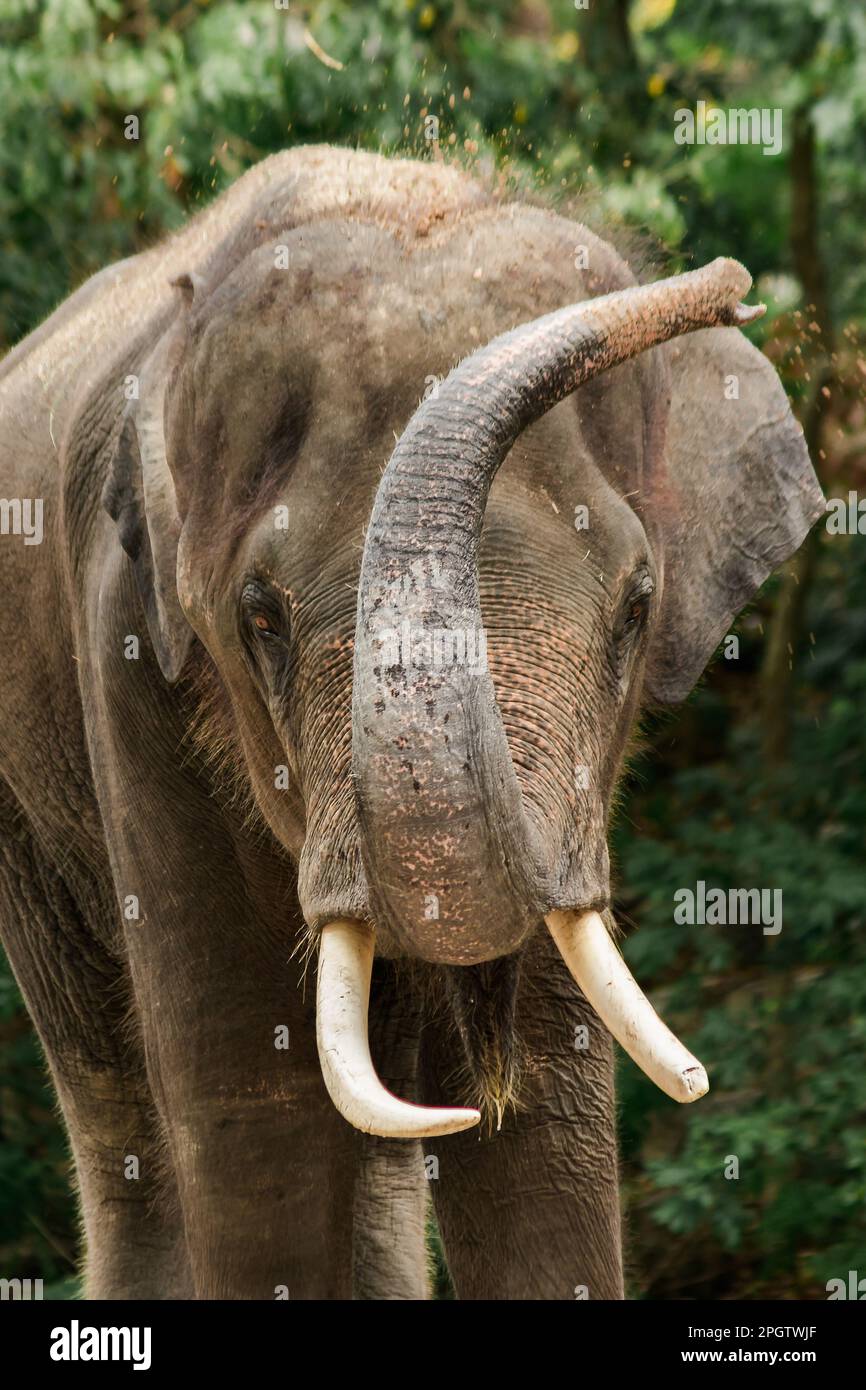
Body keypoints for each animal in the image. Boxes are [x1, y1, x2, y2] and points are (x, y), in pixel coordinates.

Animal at [0, 144, 823, 1300]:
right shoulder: (122, 647)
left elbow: (546, 1139)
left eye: (635, 608)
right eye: (260, 619)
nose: (730, 282)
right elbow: (249, 1104)